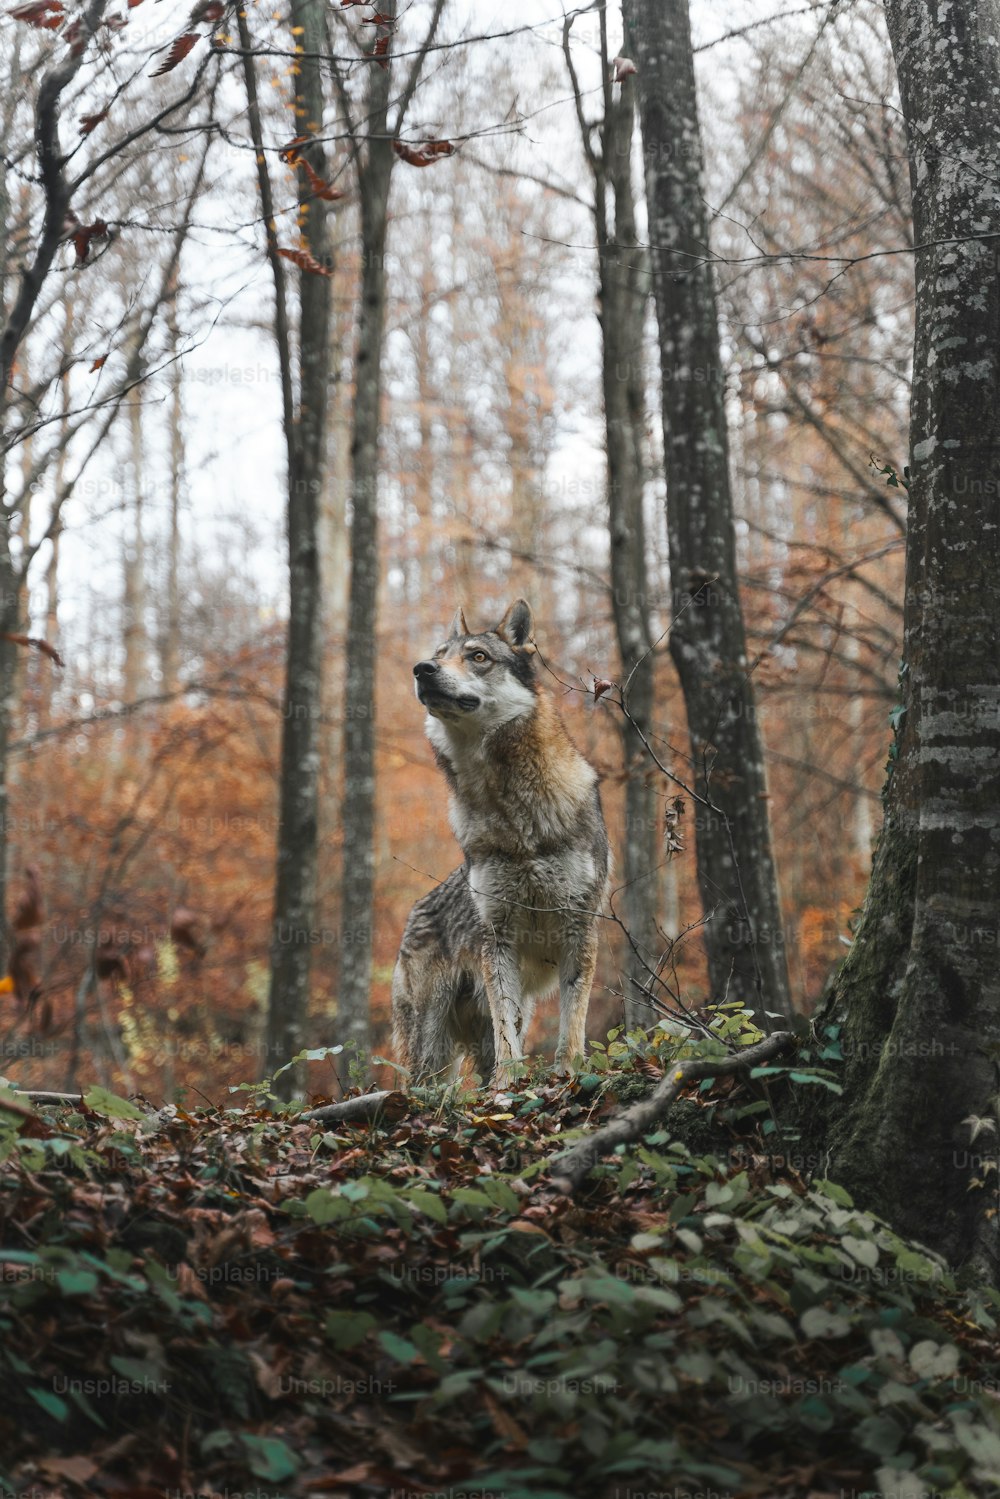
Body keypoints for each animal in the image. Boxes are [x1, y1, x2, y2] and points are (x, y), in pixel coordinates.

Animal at [389, 593, 611, 1079]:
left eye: (478, 657)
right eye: (439, 655)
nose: (421, 669)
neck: (511, 811)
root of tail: (413, 914)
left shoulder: (578, 929)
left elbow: (573, 1021)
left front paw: (568, 1073)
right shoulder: (497, 939)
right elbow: (505, 1027)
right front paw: (509, 1085)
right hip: (430, 1040)